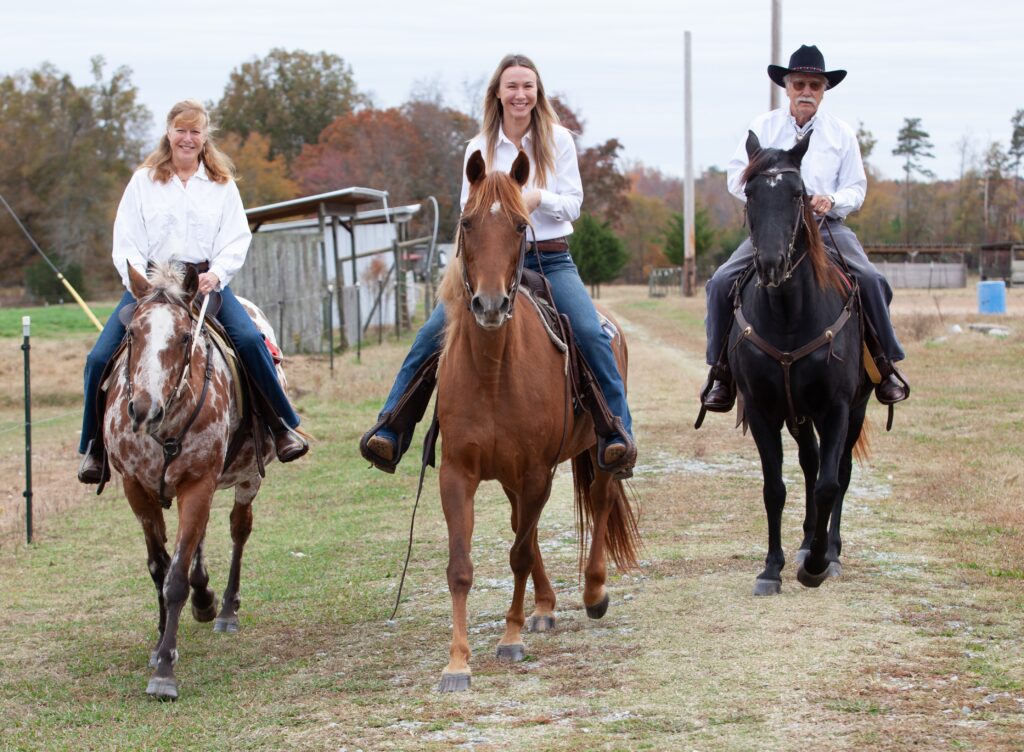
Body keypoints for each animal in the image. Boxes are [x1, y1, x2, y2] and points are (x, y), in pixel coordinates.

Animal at [104, 264, 282, 700]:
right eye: (131, 335)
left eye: (185, 336)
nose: (143, 409)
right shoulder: (136, 488)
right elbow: (160, 566)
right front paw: (158, 645)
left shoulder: (199, 482)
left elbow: (175, 579)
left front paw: (165, 671)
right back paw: (205, 599)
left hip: (246, 478)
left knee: (238, 530)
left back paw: (227, 609)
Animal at [432, 151, 638, 696]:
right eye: (466, 222)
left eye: (522, 225)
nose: (489, 305)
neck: (492, 373)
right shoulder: (458, 474)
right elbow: (462, 566)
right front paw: (457, 663)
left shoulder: (536, 472)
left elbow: (519, 554)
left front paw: (510, 637)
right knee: (523, 524)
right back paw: (544, 607)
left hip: (596, 455)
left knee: (600, 502)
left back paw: (593, 592)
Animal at [729, 132, 872, 598]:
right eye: (750, 193)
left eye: (797, 194)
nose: (771, 264)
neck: (789, 316)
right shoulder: (763, 410)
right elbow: (775, 488)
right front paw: (771, 568)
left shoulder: (838, 408)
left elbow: (830, 483)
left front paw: (817, 566)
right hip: (798, 415)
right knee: (809, 464)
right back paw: (809, 541)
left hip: (855, 411)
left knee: (837, 471)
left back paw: (829, 550)